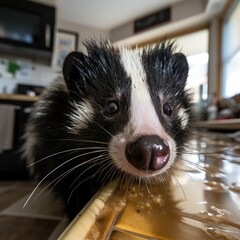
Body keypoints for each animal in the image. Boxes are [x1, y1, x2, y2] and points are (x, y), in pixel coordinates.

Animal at [23, 39, 191, 219]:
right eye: (111, 107)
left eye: (168, 108)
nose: (150, 148)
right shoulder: (56, 146)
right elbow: (70, 184)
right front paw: (75, 212)